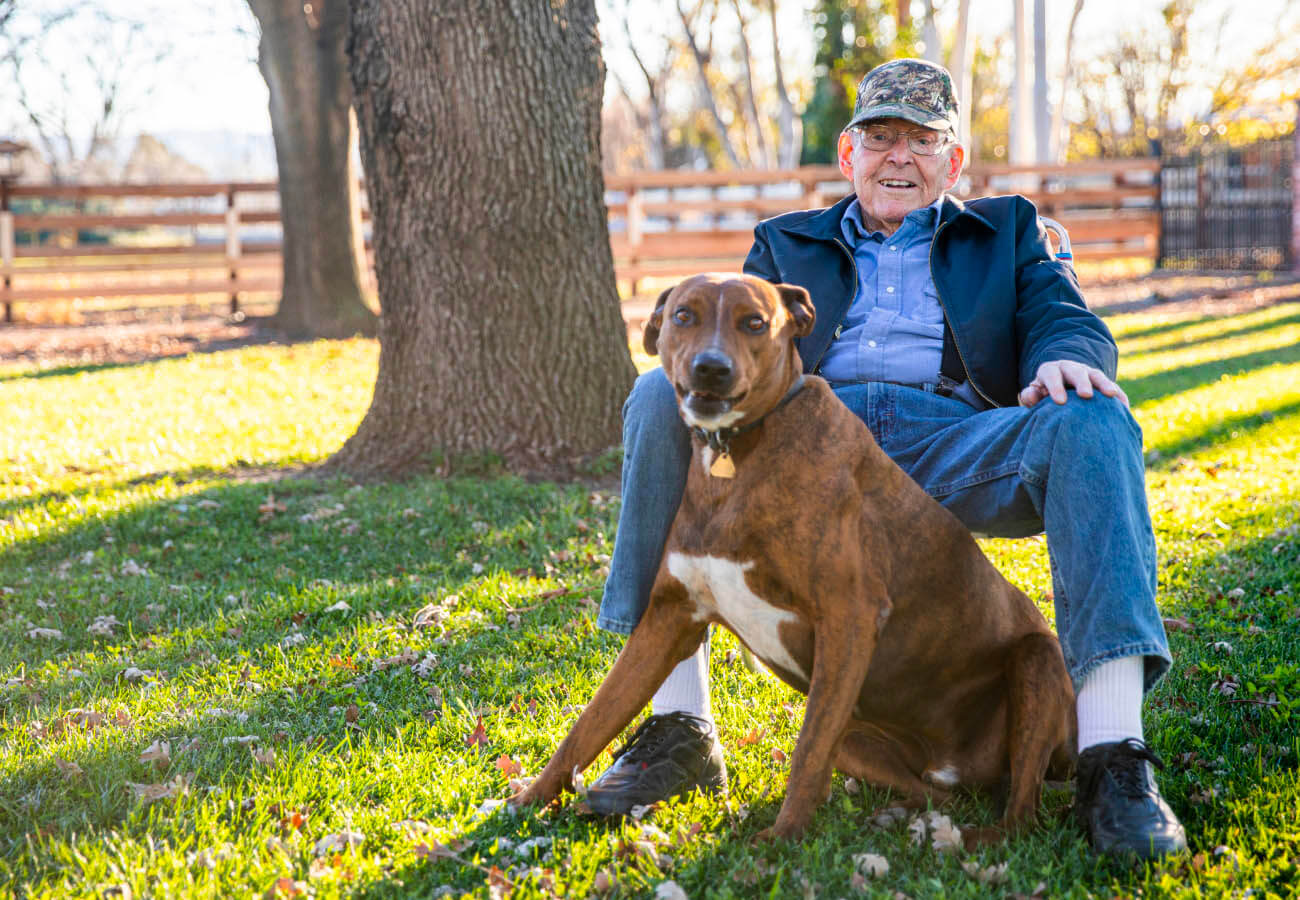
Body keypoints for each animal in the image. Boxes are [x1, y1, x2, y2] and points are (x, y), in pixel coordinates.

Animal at [512, 270, 1071, 842]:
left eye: (755, 322)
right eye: (684, 315)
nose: (711, 367)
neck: (735, 452)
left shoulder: (849, 617)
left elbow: (806, 752)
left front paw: (780, 840)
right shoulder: (668, 621)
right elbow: (588, 725)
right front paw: (527, 801)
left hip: (1037, 662)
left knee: (1022, 811)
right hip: (858, 736)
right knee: (935, 794)